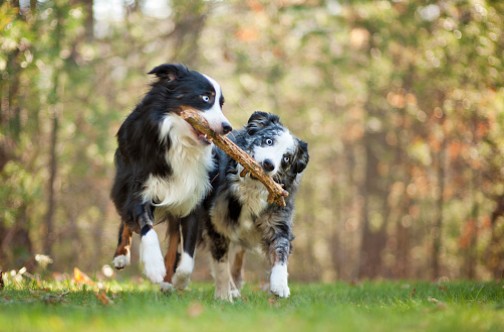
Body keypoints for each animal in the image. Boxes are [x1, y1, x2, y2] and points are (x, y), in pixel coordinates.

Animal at [110, 63, 232, 290]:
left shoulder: (193, 199)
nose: (227, 128)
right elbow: (145, 226)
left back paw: (167, 282)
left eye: (221, 104)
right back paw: (121, 256)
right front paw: (153, 267)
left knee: (175, 237)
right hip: (124, 178)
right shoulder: (140, 187)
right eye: (205, 98)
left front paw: (178, 281)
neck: (180, 144)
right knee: (125, 215)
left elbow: (187, 256)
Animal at [203, 111, 310, 300]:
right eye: (269, 141)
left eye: (286, 158)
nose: (268, 164)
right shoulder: (217, 224)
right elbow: (221, 264)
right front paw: (223, 295)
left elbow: (281, 251)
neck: (251, 188)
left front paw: (280, 285)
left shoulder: (278, 222)